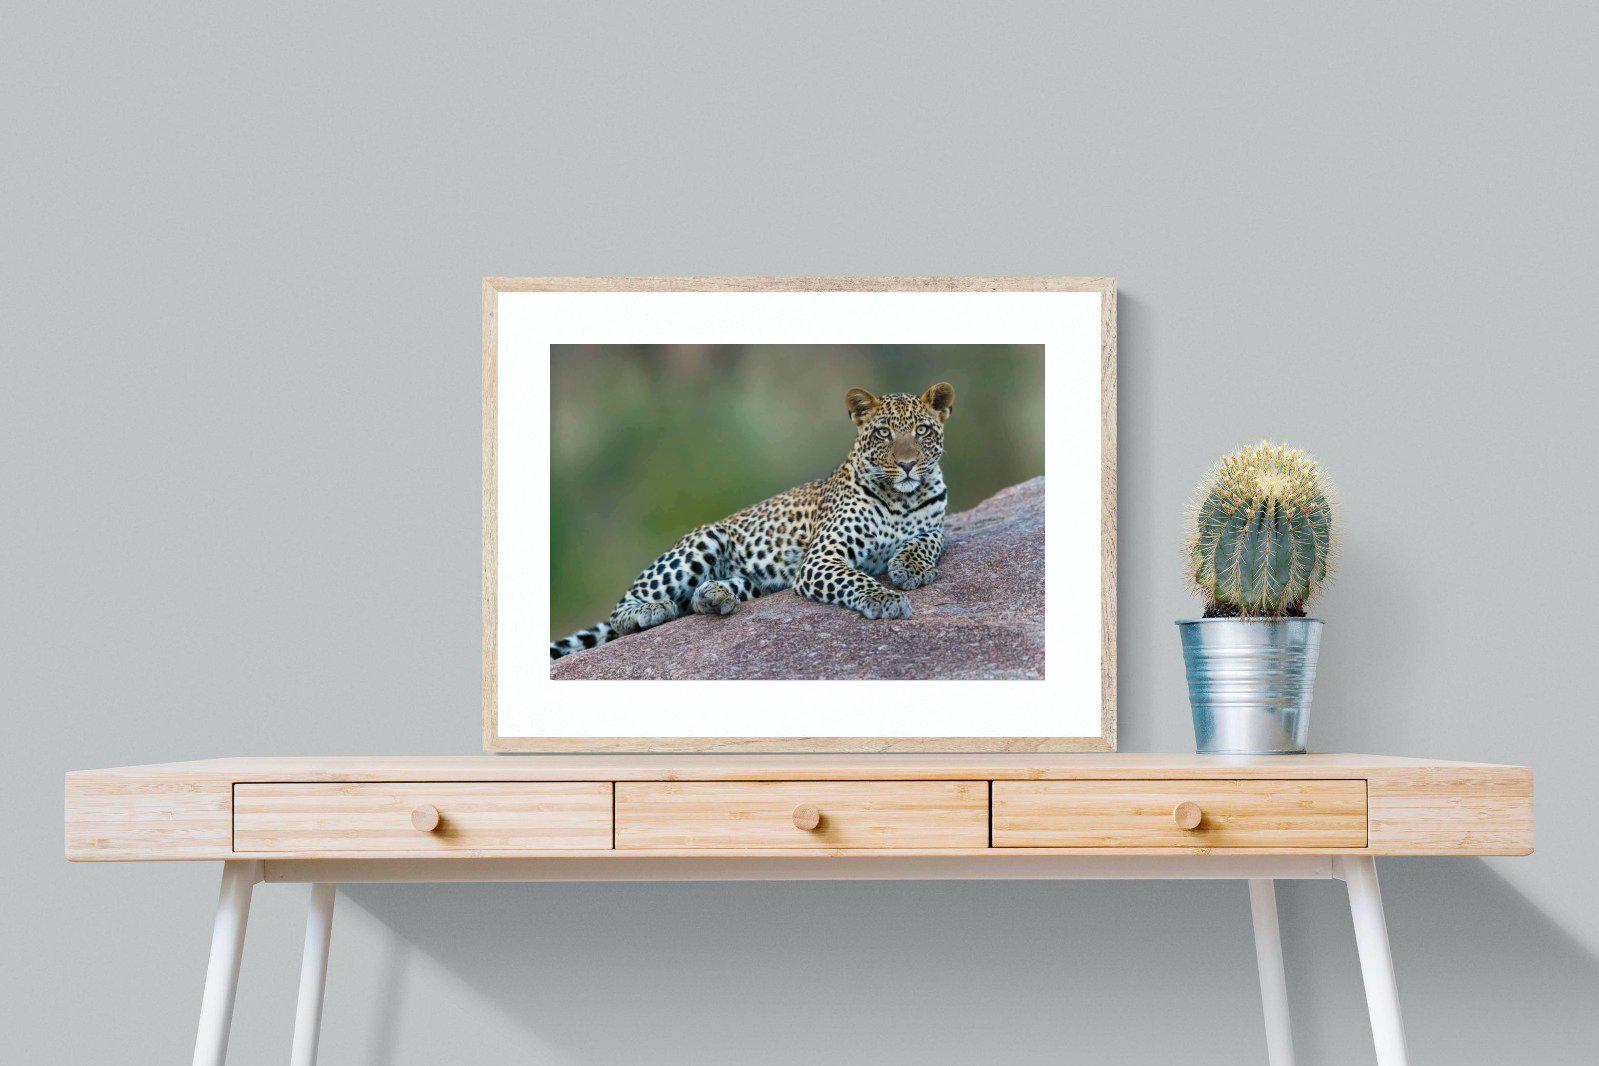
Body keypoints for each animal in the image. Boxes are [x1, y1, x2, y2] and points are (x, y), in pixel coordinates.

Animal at [550, 381, 955, 660]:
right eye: (883, 432)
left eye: (921, 431)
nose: (907, 464)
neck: (902, 497)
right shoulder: (821, 559)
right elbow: (856, 578)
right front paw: (886, 598)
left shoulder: (935, 525)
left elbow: (929, 540)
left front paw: (909, 567)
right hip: (704, 540)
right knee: (624, 609)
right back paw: (652, 610)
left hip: (756, 582)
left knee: (699, 599)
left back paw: (715, 596)